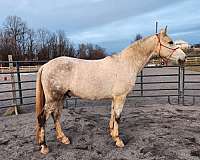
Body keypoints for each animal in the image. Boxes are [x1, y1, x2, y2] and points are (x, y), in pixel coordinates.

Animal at [34, 28, 186, 154]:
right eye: (170, 42)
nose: (183, 58)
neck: (126, 63)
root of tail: (46, 65)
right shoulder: (120, 97)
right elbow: (118, 116)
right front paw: (118, 140)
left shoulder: (115, 97)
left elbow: (113, 114)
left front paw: (112, 133)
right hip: (53, 98)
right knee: (42, 118)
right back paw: (44, 146)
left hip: (60, 98)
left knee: (56, 116)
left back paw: (63, 138)